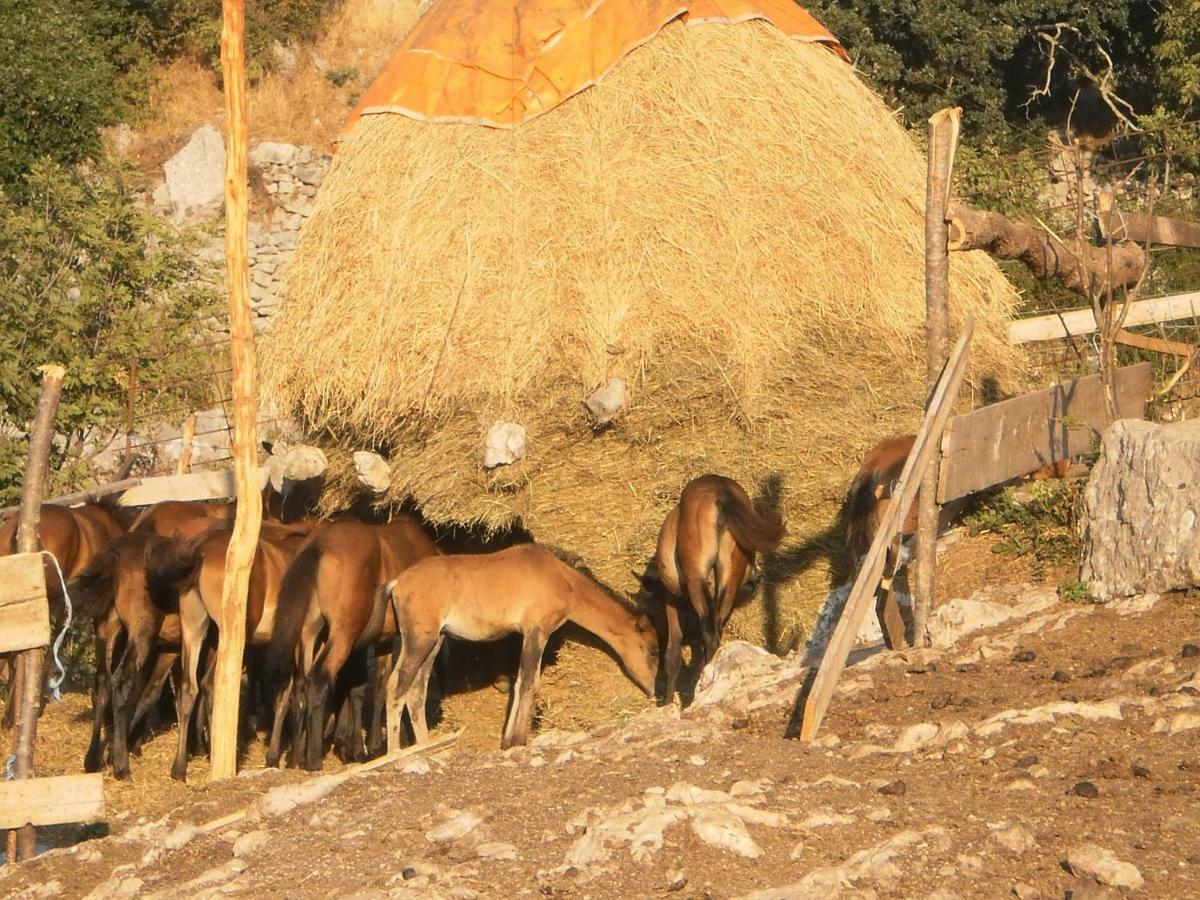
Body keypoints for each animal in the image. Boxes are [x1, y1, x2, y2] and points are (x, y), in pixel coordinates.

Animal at [265, 518, 444, 772]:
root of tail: (320, 542)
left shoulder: (375, 641)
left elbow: (362, 687)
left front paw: (353, 745)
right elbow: (382, 684)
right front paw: (373, 746)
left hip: (310, 635)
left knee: (300, 685)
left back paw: (296, 758)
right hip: (342, 636)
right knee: (318, 679)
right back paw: (313, 760)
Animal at [384, 542, 662, 753]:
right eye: (653, 650)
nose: (653, 691)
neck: (562, 578)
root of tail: (397, 583)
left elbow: (518, 682)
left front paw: (507, 740)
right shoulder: (536, 631)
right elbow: (529, 682)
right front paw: (518, 740)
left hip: (434, 641)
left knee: (416, 690)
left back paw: (426, 746)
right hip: (418, 641)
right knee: (396, 686)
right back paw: (395, 753)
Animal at [657, 475, 787, 710]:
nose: (755, 580)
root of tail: (720, 491)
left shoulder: (671, 599)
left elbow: (673, 652)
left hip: (697, 579)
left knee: (709, 632)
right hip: (730, 576)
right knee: (715, 631)